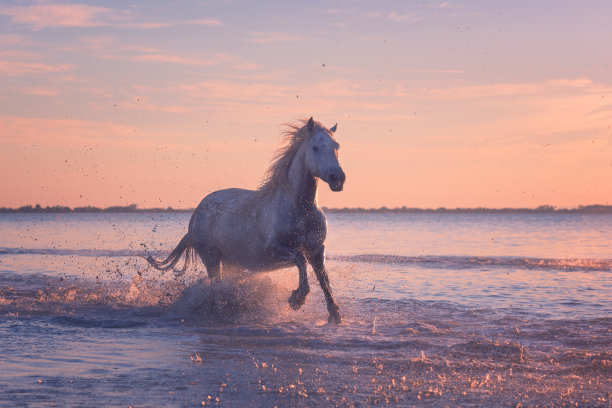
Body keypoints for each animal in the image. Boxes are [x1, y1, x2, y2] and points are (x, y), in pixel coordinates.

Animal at [147, 118, 344, 326]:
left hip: (230, 261)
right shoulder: (273, 249)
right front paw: (296, 300)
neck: (298, 208)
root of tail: (195, 216)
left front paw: (335, 315)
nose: (338, 178)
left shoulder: (317, 249)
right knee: (216, 286)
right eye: (315, 147)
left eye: (336, 146)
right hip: (211, 257)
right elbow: (300, 259)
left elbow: (324, 279)